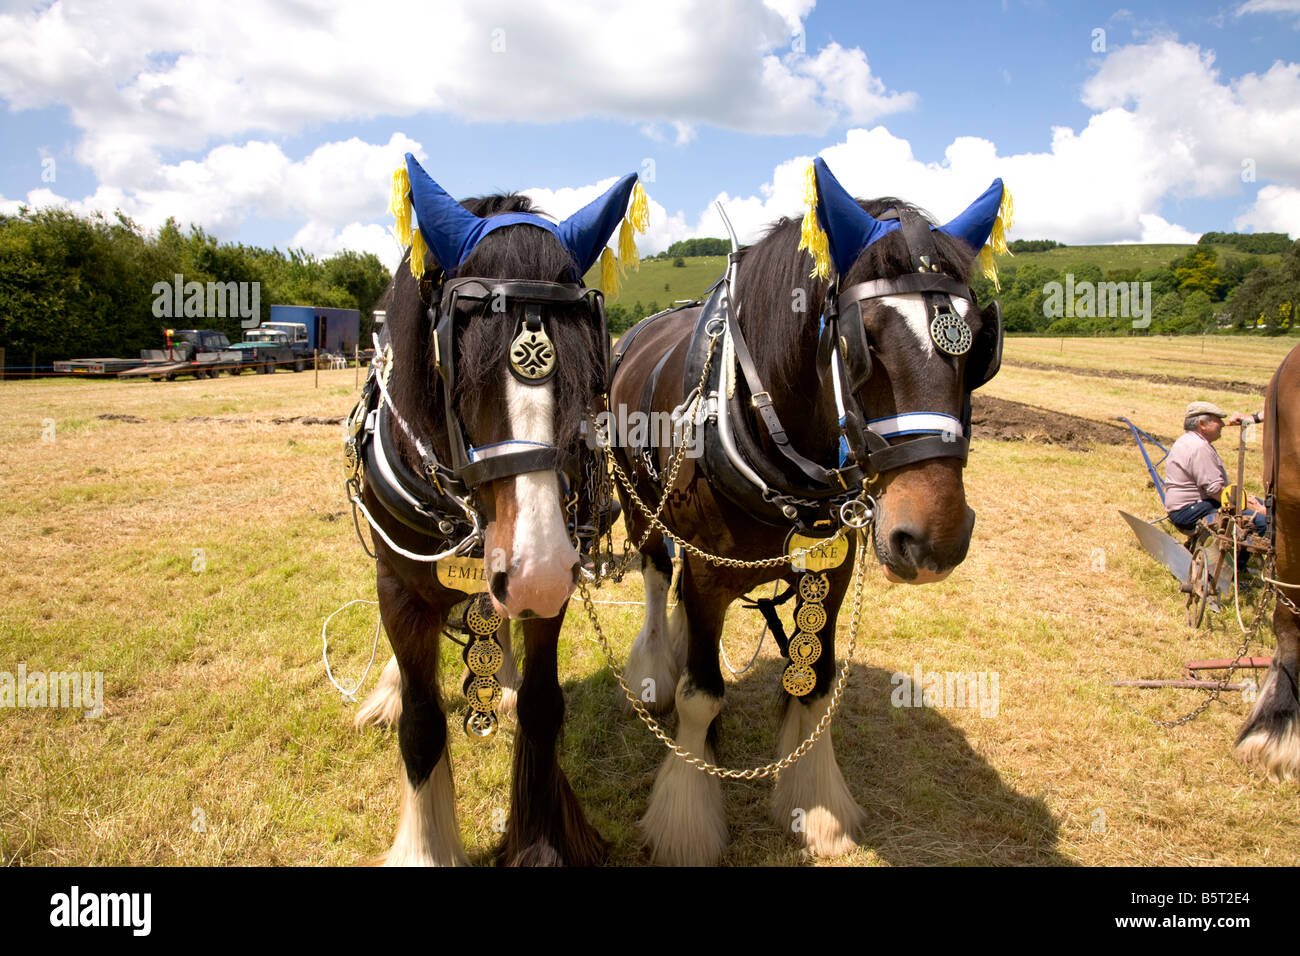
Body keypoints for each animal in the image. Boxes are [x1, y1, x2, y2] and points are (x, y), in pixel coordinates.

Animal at [347, 154, 643, 865]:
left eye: (592, 362)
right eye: (458, 367)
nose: (534, 568)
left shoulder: (554, 580)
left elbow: (541, 703)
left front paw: (540, 841)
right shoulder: (401, 588)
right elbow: (423, 724)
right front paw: (426, 847)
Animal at [605, 158, 1007, 865]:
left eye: (980, 345)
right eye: (861, 342)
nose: (934, 540)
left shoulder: (833, 570)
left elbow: (815, 686)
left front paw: (816, 809)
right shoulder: (708, 573)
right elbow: (700, 697)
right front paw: (686, 822)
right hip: (637, 505)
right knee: (656, 576)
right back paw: (655, 669)